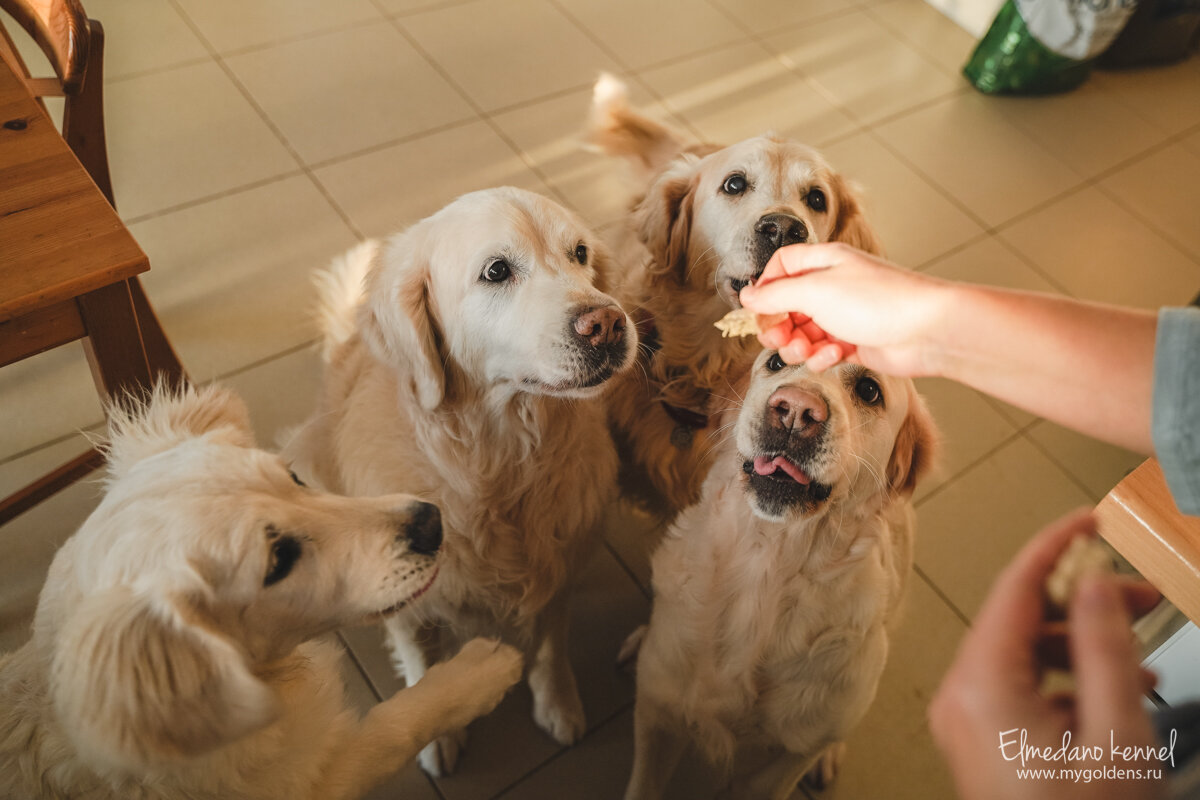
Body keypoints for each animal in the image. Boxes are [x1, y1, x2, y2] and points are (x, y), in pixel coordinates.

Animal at [0, 381, 525, 800]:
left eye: (293, 478)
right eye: (279, 561)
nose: (432, 523)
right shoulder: (313, 778)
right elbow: (393, 726)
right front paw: (477, 674)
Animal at [283, 185, 638, 777]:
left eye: (580, 254)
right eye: (496, 271)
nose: (608, 324)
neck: (499, 464)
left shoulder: (558, 565)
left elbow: (550, 644)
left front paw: (558, 704)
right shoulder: (408, 598)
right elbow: (422, 662)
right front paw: (438, 732)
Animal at [624, 352, 940, 800]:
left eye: (869, 390)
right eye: (778, 361)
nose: (795, 410)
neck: (768, 564)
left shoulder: (783, 762)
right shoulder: (657, 717)